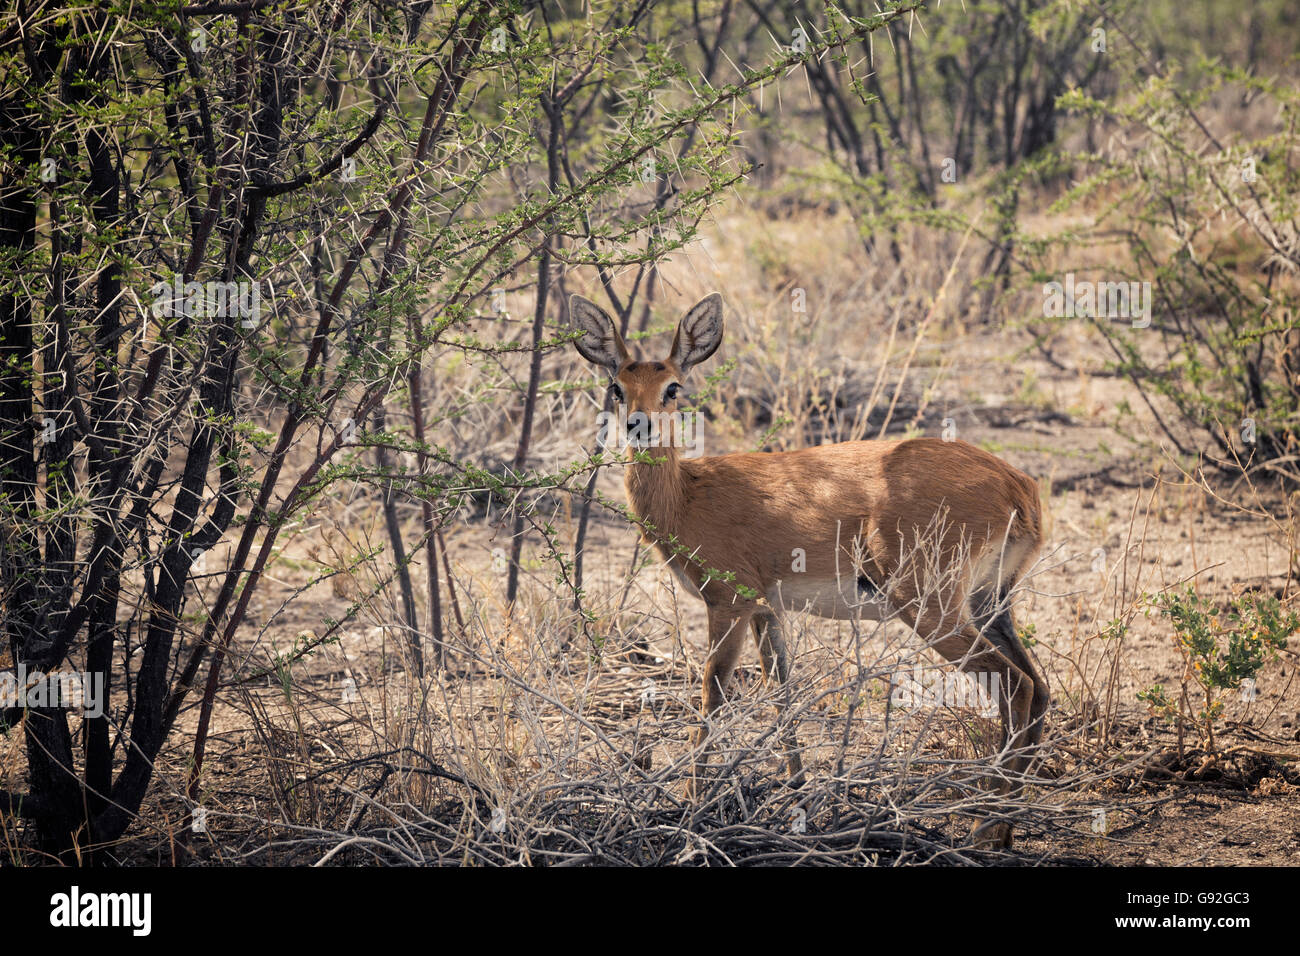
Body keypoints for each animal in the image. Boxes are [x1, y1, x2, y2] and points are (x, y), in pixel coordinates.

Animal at [569, 293, 1045, 853]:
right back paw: (1005, 828)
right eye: (616, 386)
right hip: (989, 602)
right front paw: (798, 800)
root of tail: (1017, 485)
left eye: (673, 386)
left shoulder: (727, 603)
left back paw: (981, 827)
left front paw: (687, 809)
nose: (638, 425)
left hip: (933, 608)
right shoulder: (766, 609)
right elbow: (783, 693)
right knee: (1039, 688)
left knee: (1015, 685)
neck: (687, 495)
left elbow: (712, 692)